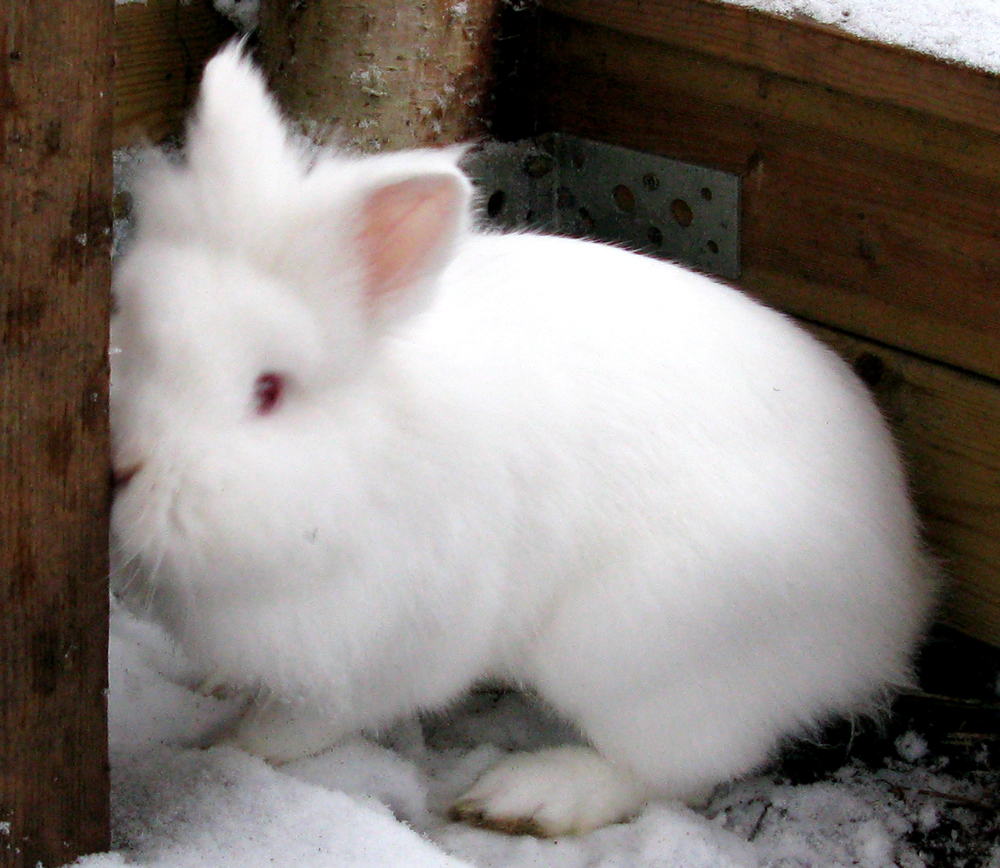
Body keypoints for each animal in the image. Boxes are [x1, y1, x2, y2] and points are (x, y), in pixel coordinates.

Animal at [110, 42, 936, 837]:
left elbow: (313, 718)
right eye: (133, 328)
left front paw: (239, 741)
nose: (122, 468)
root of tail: (895, 601)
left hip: (638, 659)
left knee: (679, 770)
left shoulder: (391, 641)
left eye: (269, 391)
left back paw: (532, 797)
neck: (368, 454)